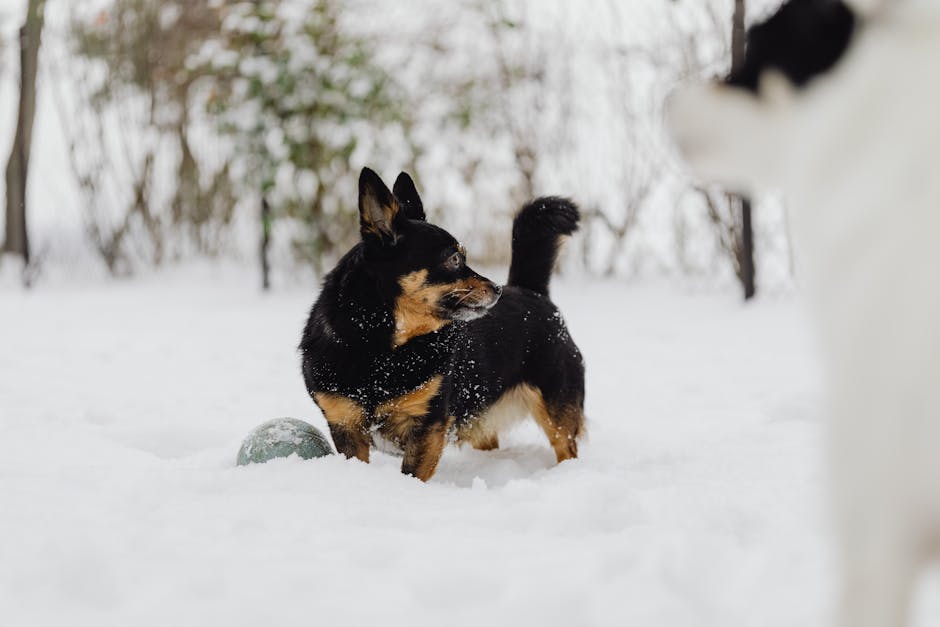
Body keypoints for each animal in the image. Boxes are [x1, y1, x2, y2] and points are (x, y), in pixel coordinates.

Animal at [302, 167, 584, 480]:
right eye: (454, 259)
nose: (497, 289)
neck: (381, 348)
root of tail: (530, 290)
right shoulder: (345, 426)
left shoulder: (427, 426)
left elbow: (412, 474)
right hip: (480, 419)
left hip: (556, 409)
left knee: (566, 447)